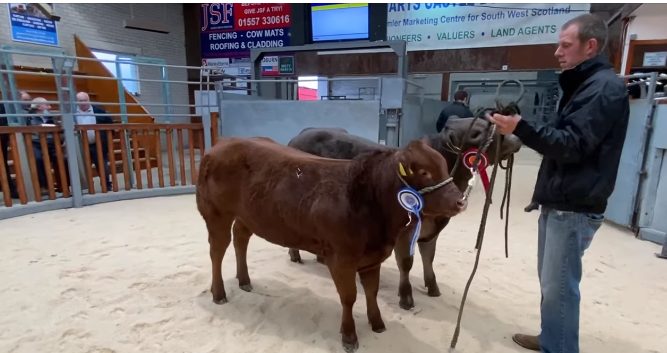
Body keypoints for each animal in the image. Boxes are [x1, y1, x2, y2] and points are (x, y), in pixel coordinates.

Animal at [196, 136, 464, 350]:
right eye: (424, 172)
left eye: (444, 166)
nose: (461, 201)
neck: (368, 200)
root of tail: (221, 144)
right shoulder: (341, 259)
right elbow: (349, 297)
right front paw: (349, 336)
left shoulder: (372, 257)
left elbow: (372, 291)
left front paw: (377, 323)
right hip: (215, 213)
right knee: (217, 251)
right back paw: (219, 293)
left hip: (247, 216)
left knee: (240, 239)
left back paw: (244, 281)